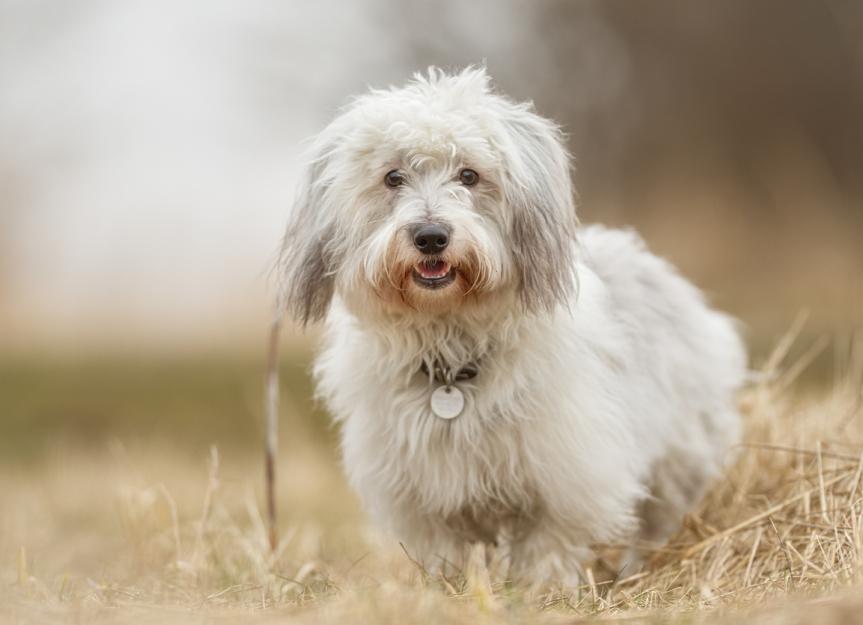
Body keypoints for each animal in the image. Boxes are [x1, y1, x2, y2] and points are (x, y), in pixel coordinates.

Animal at [278, 68, 748, 584]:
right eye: (392, 178)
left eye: (469, 175)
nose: (430, 236)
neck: (452, 356)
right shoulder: (421, 497)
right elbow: (444, 555)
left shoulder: (567, 477)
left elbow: (548, 547)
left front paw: (539, 590)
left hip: (679, 462)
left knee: (657, 522)